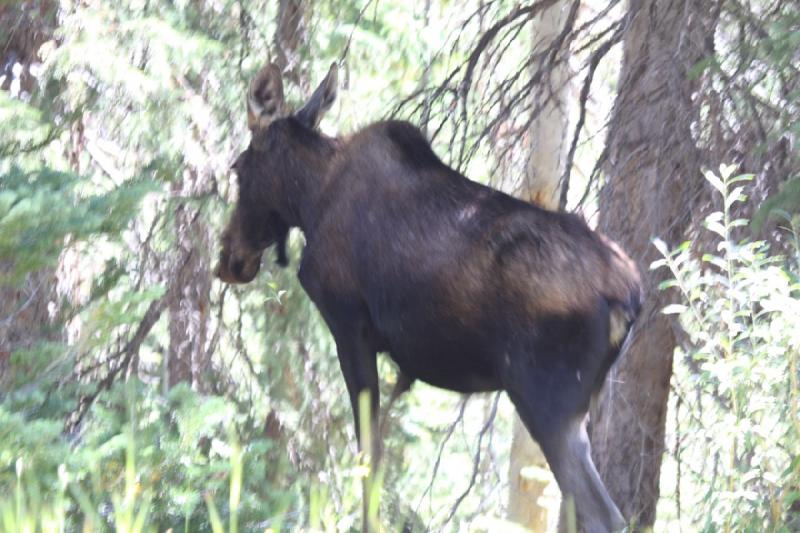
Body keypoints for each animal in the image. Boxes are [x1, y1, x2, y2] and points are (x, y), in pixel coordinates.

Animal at [216, 63, 640, 532]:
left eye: (237, 167)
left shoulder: (349, 325)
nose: (230, 257)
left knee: (602, 513)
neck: (308, 200)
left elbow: (368, 458)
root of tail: (629, 298)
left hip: (548, 403)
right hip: (585, 403)